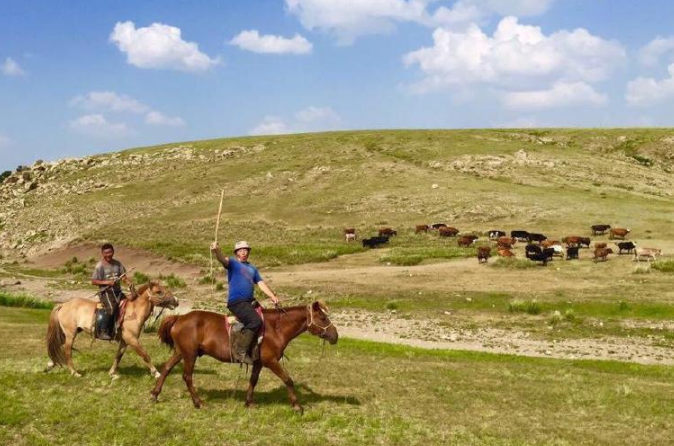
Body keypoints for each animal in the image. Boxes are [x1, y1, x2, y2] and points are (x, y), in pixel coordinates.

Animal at [46, 282, 180, 376]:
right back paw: (74, 373)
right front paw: (156, 373)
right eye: (159, 292)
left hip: (67, 333)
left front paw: (112, 373)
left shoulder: (125, 341)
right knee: (67, 352)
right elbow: (145, 355)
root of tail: (63, 305)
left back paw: (51, 364)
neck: (133, 312)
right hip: (70, 334)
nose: (176, 301)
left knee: (56, 345)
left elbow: (118, 356)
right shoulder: (132, 339)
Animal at [151, 302, 336, 412]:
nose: (335, 335)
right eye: (322, 317)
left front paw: (248, 403)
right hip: (190, 354)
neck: (275, 329)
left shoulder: (258, 363)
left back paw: (155, 394)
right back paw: (198, 403)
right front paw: (297, 405)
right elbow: (288, 379)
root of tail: (179, 318)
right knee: (187, 376)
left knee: (166, 369)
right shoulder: (271, 362)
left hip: (180, 352)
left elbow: (253, 381)